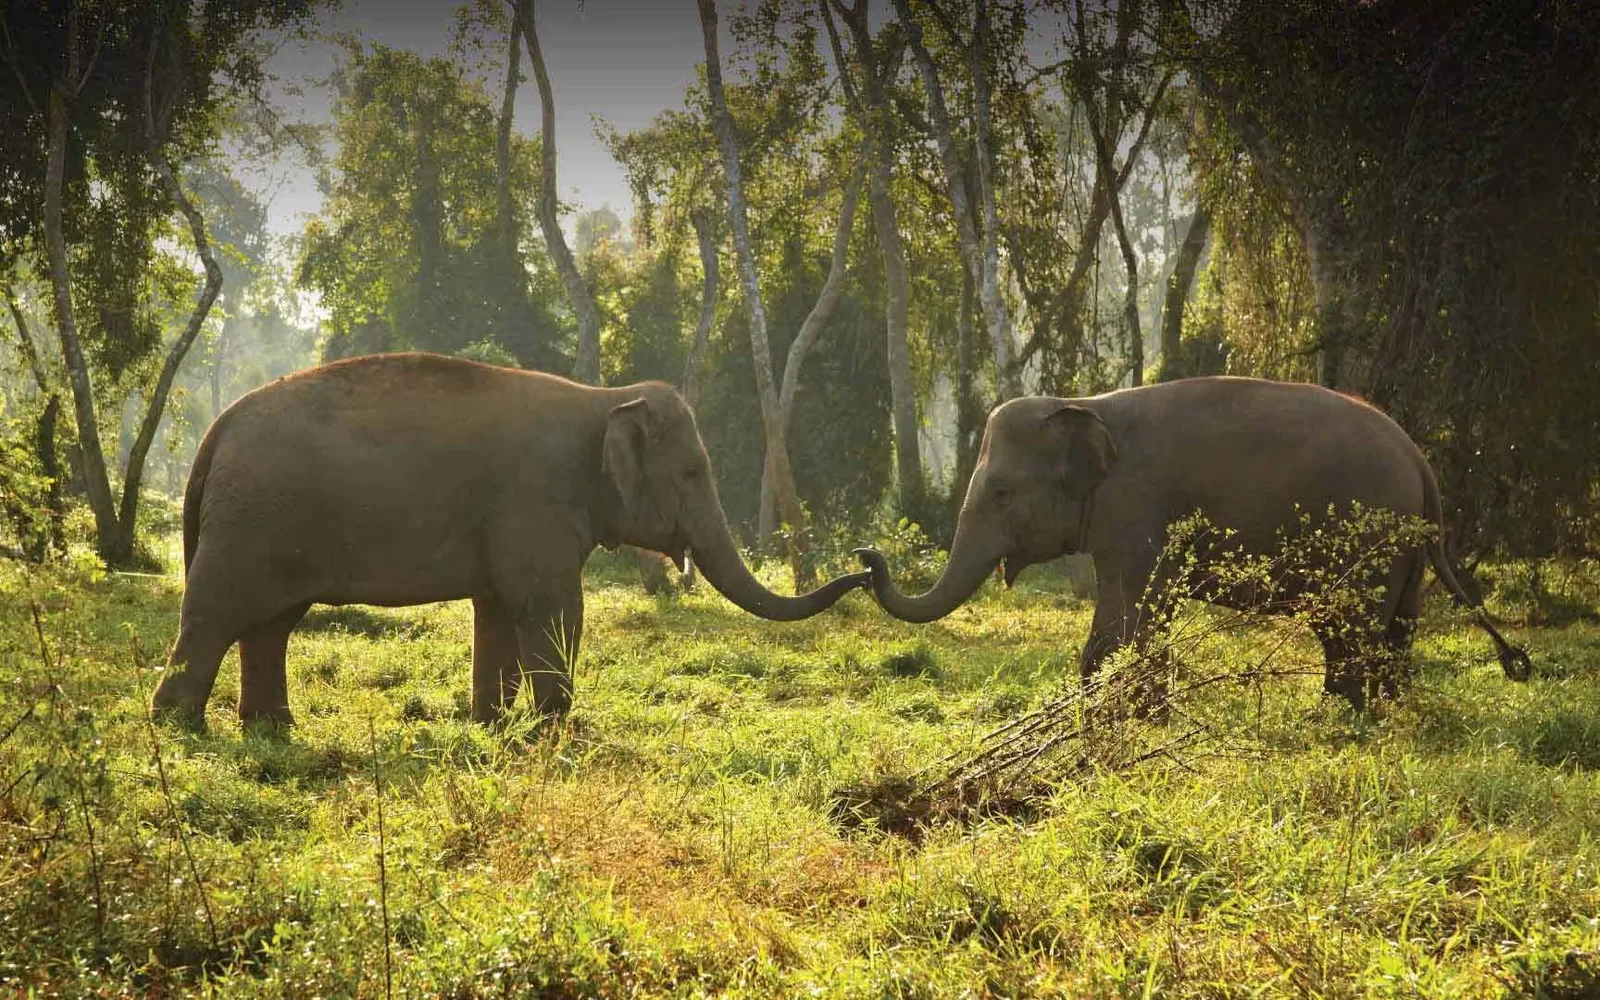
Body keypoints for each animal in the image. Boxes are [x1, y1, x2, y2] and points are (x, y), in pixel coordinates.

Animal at [151, 352, 867, 729]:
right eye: (693, 472)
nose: (868, 564)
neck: (602, 399)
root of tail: (216, 432)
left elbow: (496, 611)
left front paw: (490, 726)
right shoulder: (535, 504)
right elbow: (551, 607)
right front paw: (554, 730)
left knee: (271, 624)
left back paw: (271, 730)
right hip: (251, 523)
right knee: (217, 614)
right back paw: (181, 727)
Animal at [854, 376, 1531, 711]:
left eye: (999, 493)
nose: (865, 557)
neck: (1085, 403)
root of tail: (1420, 462)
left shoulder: (1138, 506)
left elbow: (1135, 612)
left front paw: (1131, 717)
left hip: (1368, 540)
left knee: (1349, 630)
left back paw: (1339, 718)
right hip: (1402, 550)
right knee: (1394, 630)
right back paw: (1381, 714)